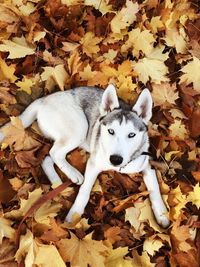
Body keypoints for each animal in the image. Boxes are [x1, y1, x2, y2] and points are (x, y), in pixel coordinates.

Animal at [0, 85, 170, 228]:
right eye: (111, 131)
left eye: (132, 134)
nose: (115, 159)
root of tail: (42, 100)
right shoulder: (93, 164)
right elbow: (85, 191)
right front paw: (74, 215)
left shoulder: (147, 165)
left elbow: (155, 189)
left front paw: (162, 215)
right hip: (80, 127)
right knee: (54, 153)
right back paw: (73, 174)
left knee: (48, 158)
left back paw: (57, 182)